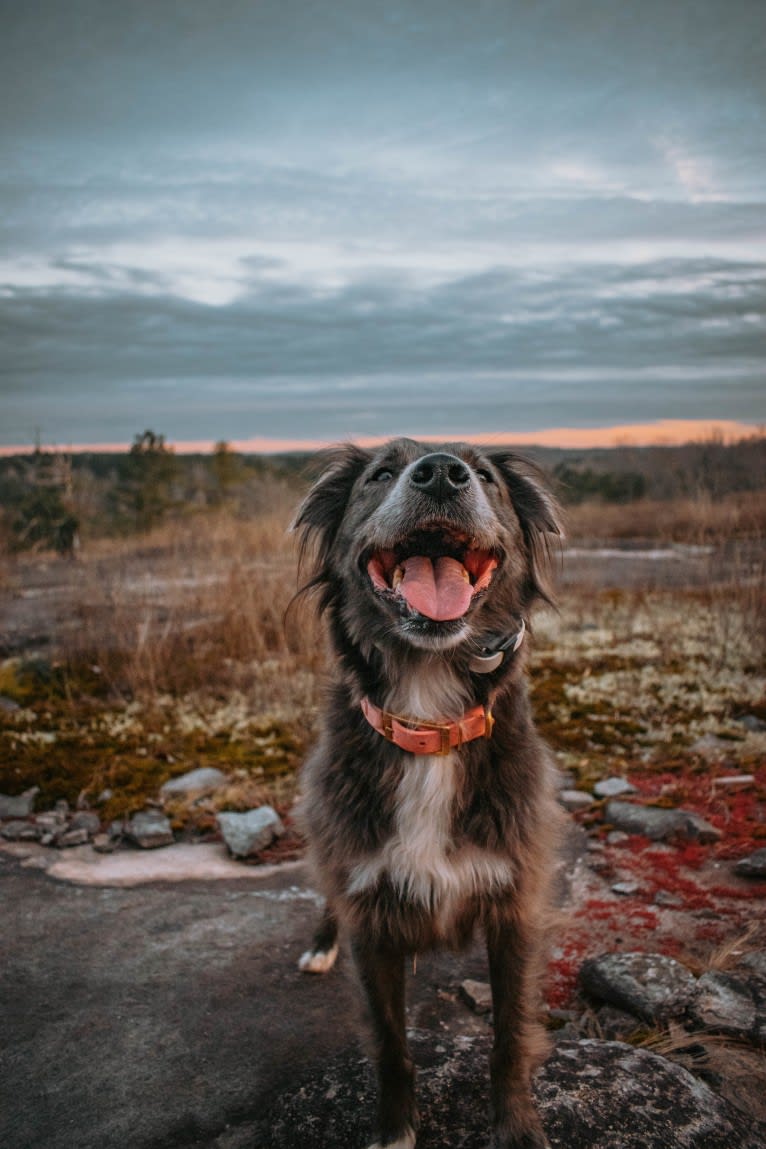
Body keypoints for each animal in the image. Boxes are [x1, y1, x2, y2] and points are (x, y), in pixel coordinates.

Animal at [293, 436, 562, 1149]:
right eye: (381, 473)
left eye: (487, 476)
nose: (442, 472)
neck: (430, 723)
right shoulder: (371, 917)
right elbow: (392, 1045)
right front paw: (394, 1131)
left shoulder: (515, 909)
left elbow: (509, 1036)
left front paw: (517, 1128)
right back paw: (319, 943)